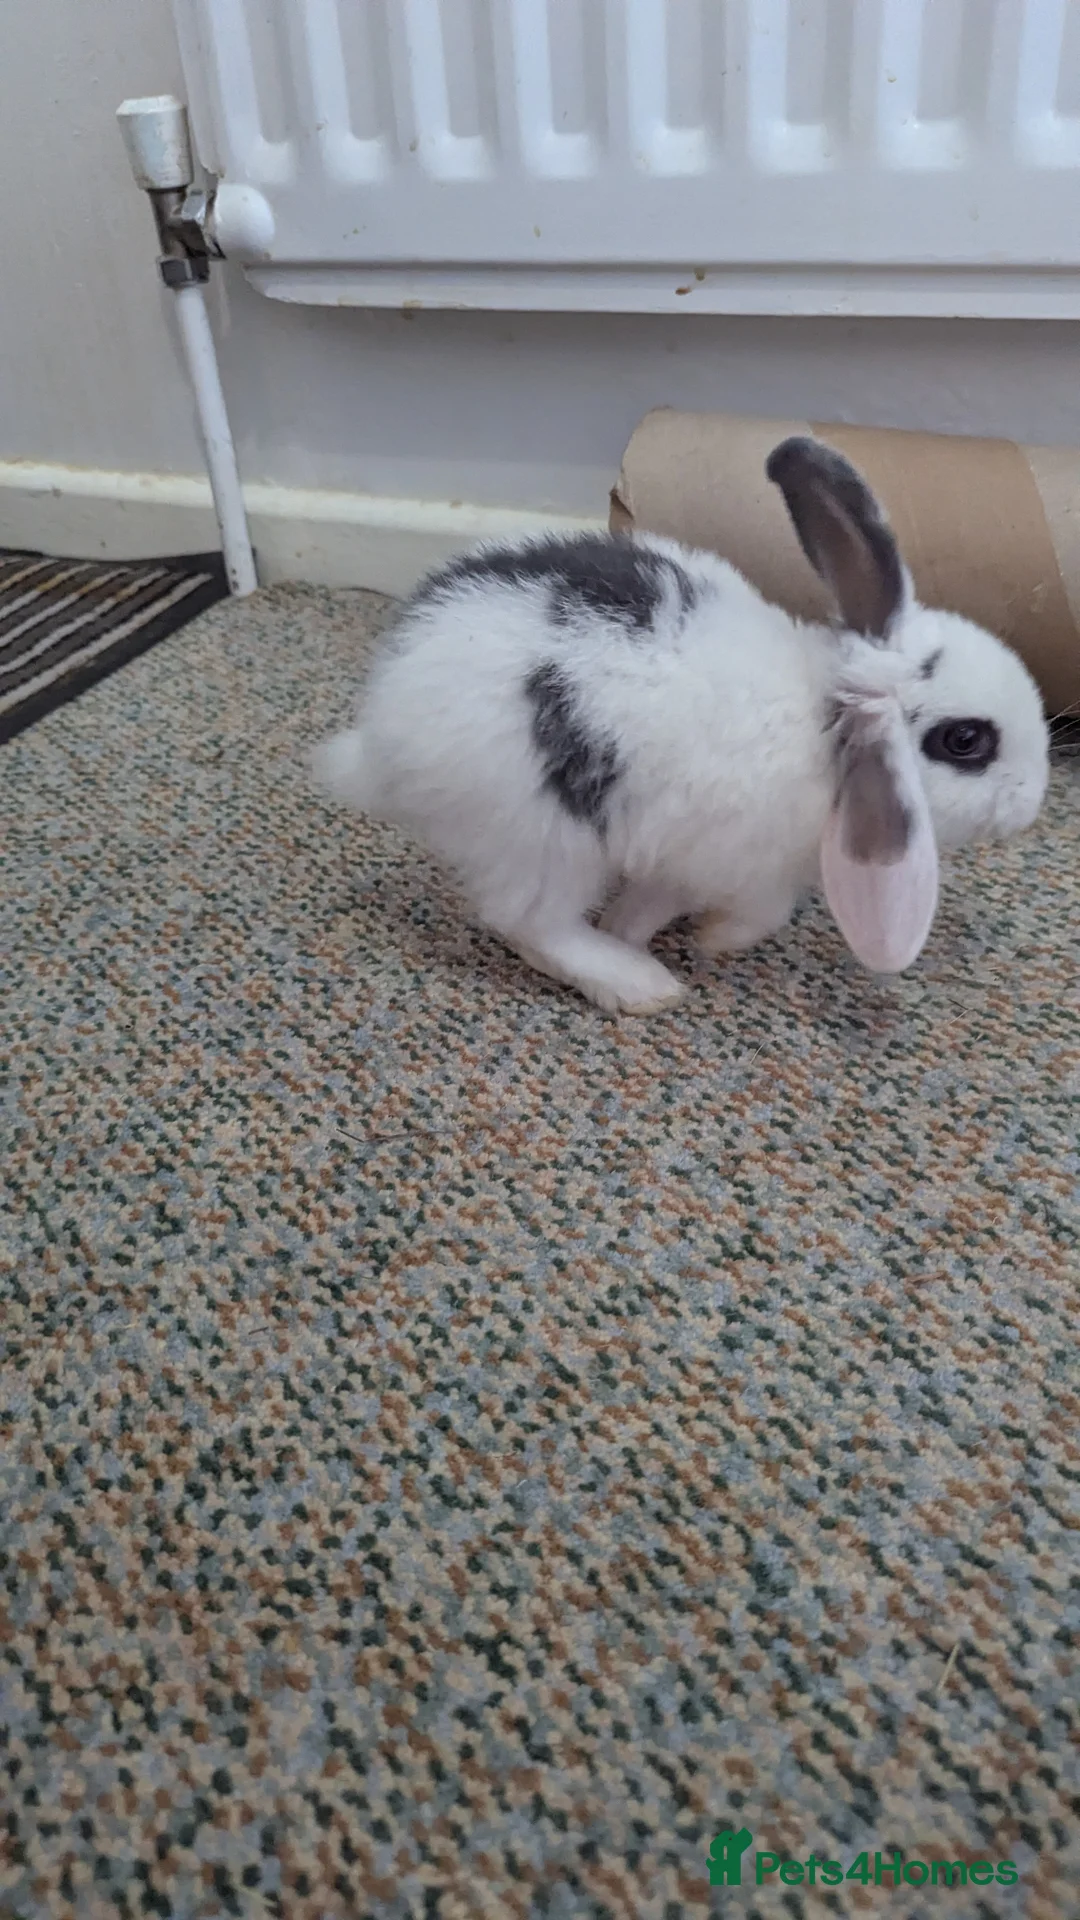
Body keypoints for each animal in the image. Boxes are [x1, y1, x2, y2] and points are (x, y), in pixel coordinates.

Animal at [314, 436, 1049, 1015]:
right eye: (965, 741)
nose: (1031, 803)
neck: (828, 724)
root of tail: (380, 740)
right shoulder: (740, 861)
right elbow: (759, 915)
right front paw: (711, 941)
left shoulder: (679, 849)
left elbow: (654, 897)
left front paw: (631, 924)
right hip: (544, 839)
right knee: (528, 924)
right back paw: (639, 984)